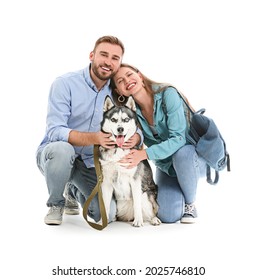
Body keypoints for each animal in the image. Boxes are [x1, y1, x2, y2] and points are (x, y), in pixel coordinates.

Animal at [98, 96, 160, 228]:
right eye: (113, 119)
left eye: (126, 119)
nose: (120, 129)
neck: (118, 149)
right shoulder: (106, 182)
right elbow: (105, 205)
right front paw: (102, 222)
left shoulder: (135, 181)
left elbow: (137, 204)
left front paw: (138, 221)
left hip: (146, 196)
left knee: (151, 210)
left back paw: (153, 219)